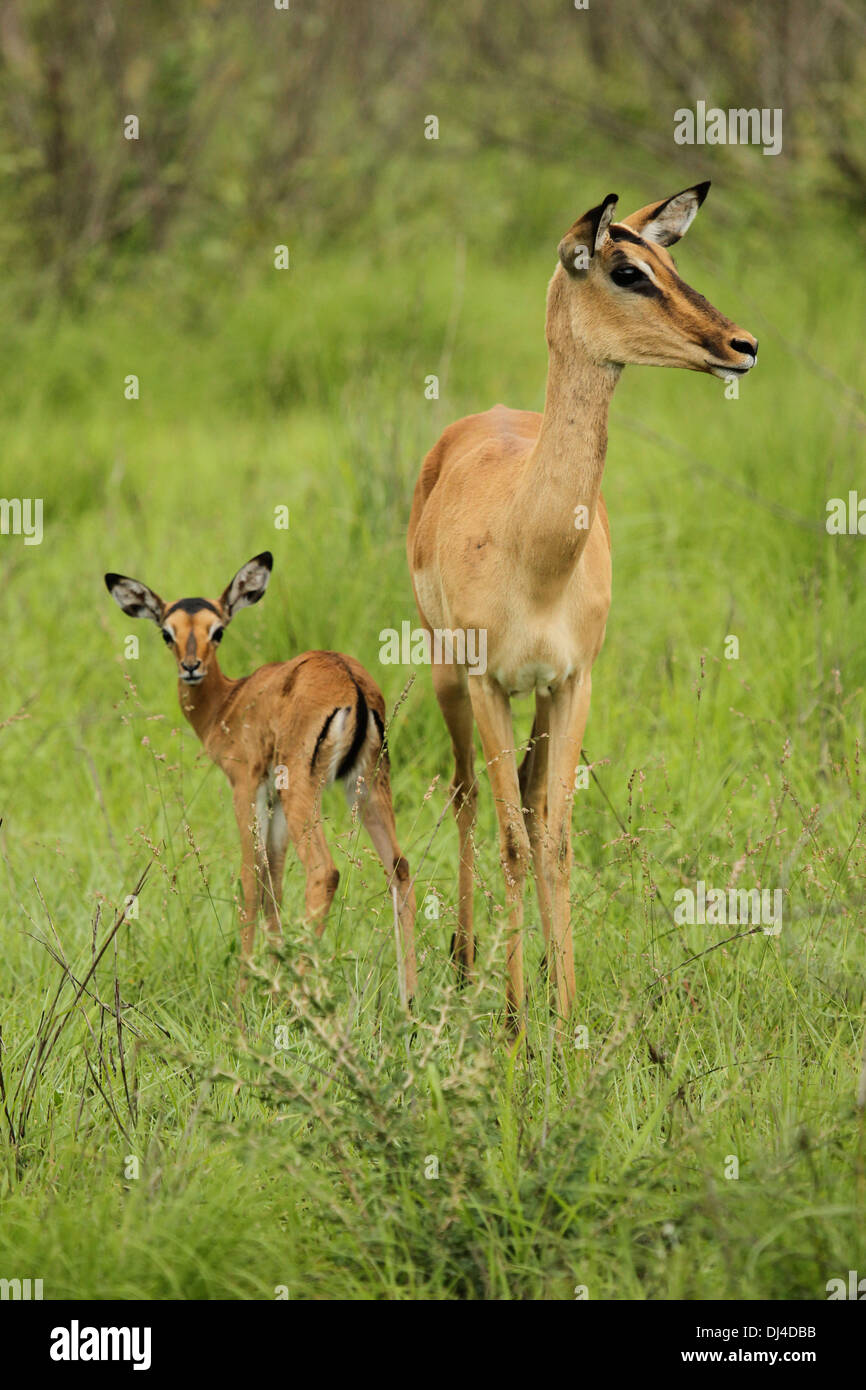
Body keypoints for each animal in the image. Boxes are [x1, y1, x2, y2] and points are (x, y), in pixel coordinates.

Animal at [105, 552, 417, 1003]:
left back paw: (303, 998)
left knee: (324, 871)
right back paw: (408, 1001)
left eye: (217, 630)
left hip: (306, 790)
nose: (190, 667)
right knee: (400, 867)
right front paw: (271, 976)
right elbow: (274, 879)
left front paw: (243, 995)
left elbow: (251, 879)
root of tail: (351, 683)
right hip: (369, 786)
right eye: (167, 631)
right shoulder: (273, 799)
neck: (230, 704)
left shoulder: (246, 787)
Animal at [407, 183, 757, 1032]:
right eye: (627, 270)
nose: (741, 344)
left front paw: (564, 1018)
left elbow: (556, 837)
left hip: (536, 695)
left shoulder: (573, 683)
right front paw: (513, 1026)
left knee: (533, 807)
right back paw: (464, 965)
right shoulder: (488, 683)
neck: (530, 549)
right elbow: (509, 838)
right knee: (468, 796)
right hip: (444, 674)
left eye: (671, 260)